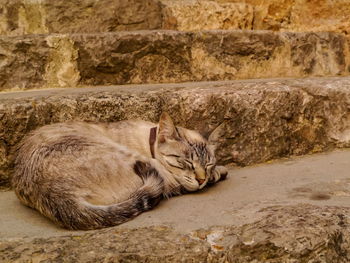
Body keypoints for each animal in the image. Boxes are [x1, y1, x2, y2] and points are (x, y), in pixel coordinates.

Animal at [11, 112, 227, 230]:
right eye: (186, 163)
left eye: (208, 164)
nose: (201, 179)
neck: (148, 137)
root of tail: (56, 193)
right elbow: (178, 182)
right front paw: (219, 172)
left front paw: (216, 172)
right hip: (133, 159)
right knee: (168, 186)